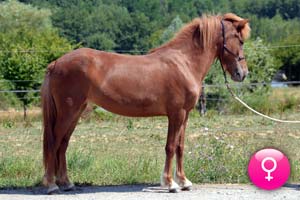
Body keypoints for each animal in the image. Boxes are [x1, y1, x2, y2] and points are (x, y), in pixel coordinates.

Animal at [41, 12, 250, 194]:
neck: (184, 62)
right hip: (68, 112)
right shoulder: (176, 114)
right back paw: (52, 185)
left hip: (75, 112)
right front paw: (170, 183)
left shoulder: (185, 114)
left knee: (63, 144)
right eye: (239, 40)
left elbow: (180, 147)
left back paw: (66, 183)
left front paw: (184, 181)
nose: (242, 73)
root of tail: (56, 63)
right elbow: (170, 147)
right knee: (54, 143)